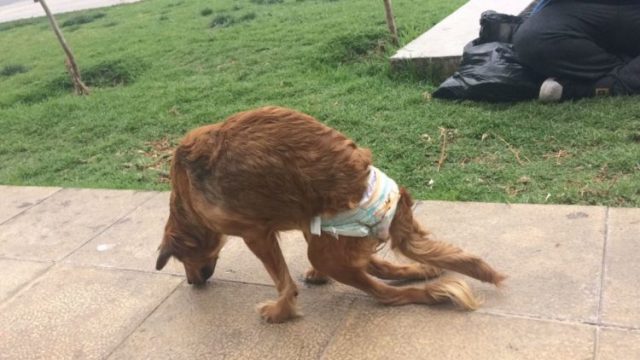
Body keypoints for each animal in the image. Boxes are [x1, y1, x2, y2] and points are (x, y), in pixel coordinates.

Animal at [155, 105, 504, 322]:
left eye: (181, 260)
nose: (191, 283)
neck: (185, 192)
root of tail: (395, 199)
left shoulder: (257, 235)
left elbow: (283, 281)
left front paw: (282, 311)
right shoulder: (306, 222)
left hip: (327, 250)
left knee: (387, 294)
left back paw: (437, 293)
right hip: (334, 239)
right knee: (380, 267)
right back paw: (424, 269)